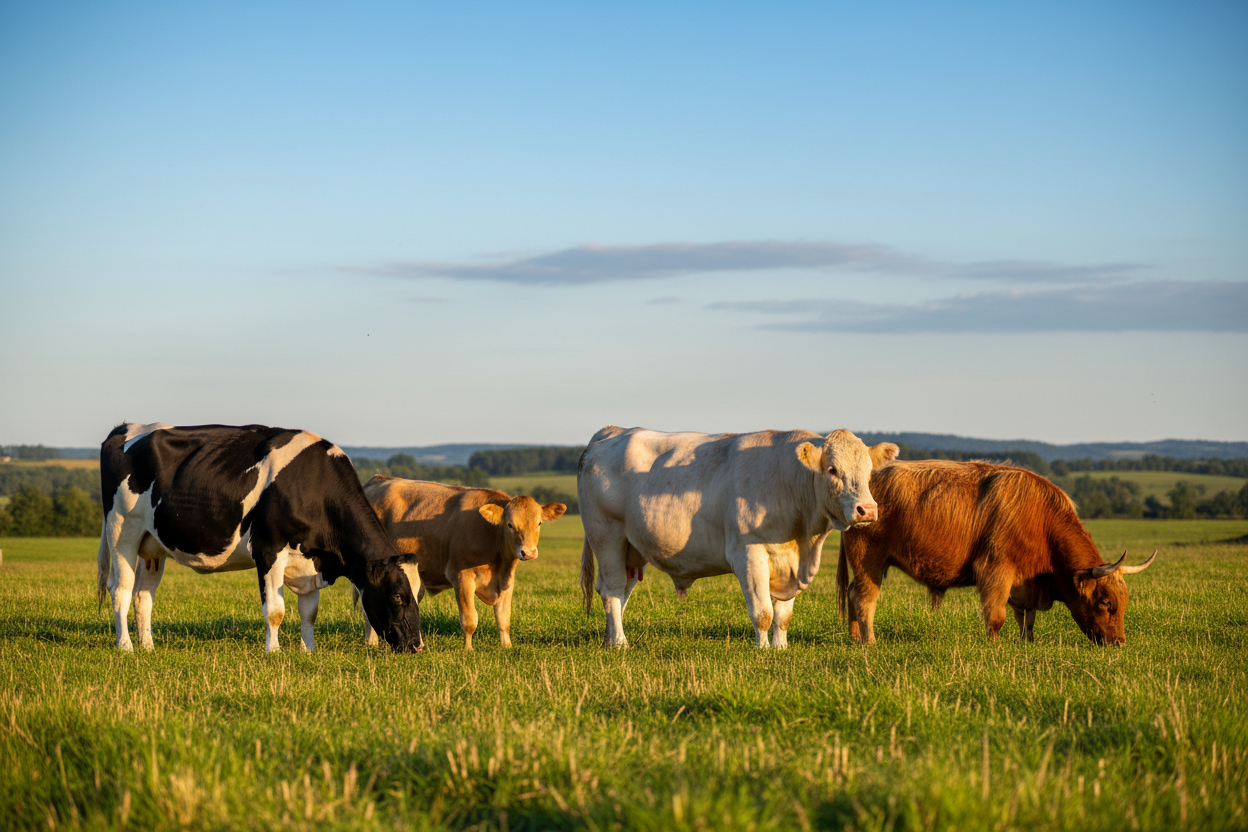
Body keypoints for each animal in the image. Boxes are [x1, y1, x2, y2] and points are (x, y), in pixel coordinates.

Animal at [97, 422, 425, 653]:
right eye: (398, 595)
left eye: (417, 593)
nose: (417, 645)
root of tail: (126, 427)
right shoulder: (268, 549)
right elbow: (276, 611)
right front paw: (274, 651)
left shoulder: (310, 561)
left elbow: (310, 612)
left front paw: (309, 650)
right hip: (122, 530)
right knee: (120, 589)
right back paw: (125, 646)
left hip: (152, 546)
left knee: (143, 595)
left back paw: (148, 646)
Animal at [358, 477, 567, 649]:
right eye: (509, 525)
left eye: (539, 523)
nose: (528, 552)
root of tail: (378, 480)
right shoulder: (462, 577)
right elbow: (469, 619)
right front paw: (468, 649)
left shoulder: (507, 580)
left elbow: (503, 617)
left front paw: (506, 646)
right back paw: (371, 643)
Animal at [577, 426, 898, 649]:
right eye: (832, 469)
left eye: (869, 470)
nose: (867, 510)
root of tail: (612, 431)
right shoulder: (748, 554)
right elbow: (763, 611)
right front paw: (763, 649)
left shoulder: (790, 564)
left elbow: (783, 615)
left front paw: (780, 648)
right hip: (606, 537)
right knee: (613, 590)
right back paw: (620, 643)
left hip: (632, 549)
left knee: (619, 592)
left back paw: (609, 639)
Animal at [836, 459, 1156, 646]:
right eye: (1105, 603)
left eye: (1123, 603)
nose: (1119, 642)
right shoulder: (995, 570)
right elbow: (996, 615)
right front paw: (994, 646)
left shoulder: (1026, 583)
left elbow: (1026, 618)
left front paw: (1026, 643)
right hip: (869, 559)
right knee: (864, 598)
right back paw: (869, 642)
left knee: (852, 593)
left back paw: (853, 637)